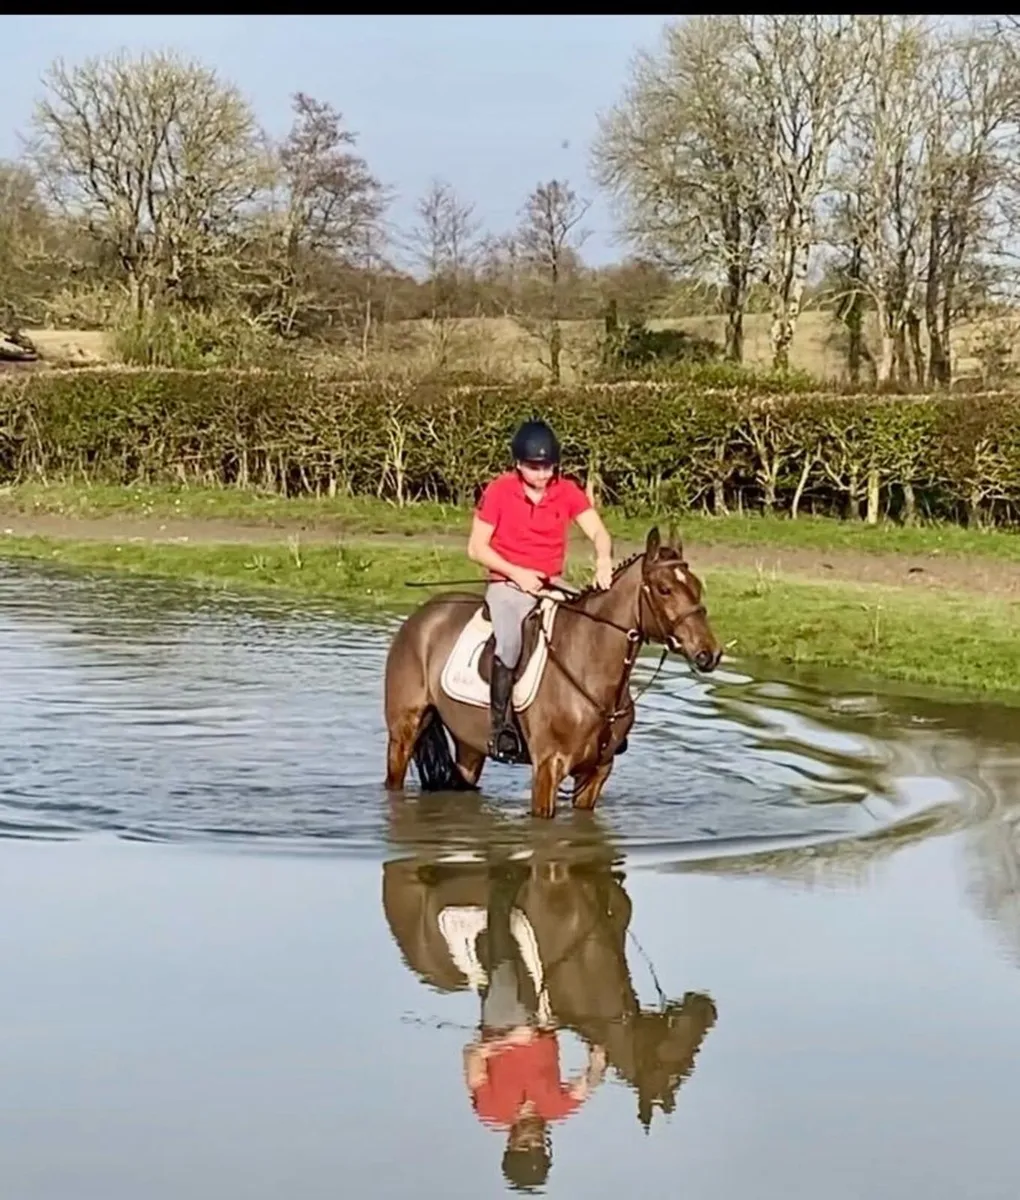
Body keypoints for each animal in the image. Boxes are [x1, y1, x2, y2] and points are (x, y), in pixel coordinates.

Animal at [383, 525, 722, 818]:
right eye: (664, 589)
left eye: (696, 586)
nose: (710, 653)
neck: (590, 670)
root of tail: (422, 617)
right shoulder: (548, 767)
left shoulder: (596, 772)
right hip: (403, 734)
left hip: (469, 743)